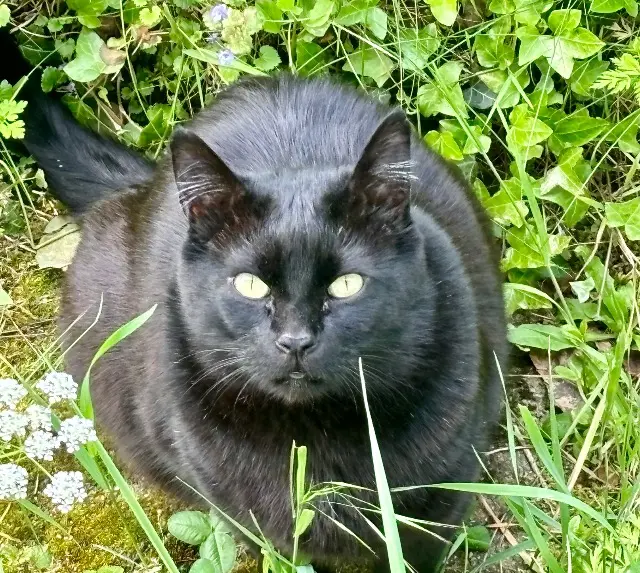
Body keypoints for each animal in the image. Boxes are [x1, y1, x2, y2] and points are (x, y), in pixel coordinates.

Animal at [2, 31, 508, 572]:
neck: (316, 437)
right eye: (251, 285)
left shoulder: (442, 502)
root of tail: (140, 184)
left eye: (346, 285)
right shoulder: (253, 517)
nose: (295, 341)